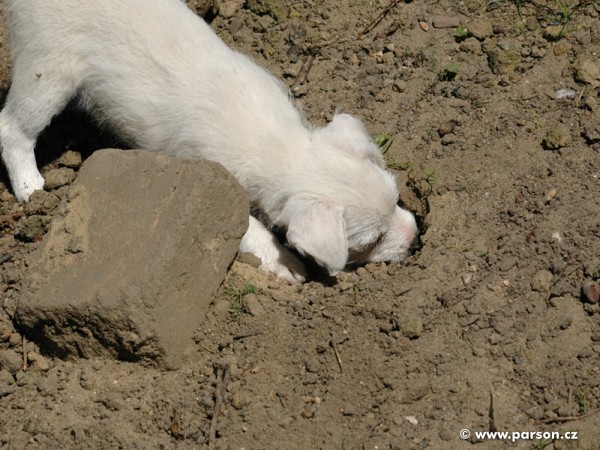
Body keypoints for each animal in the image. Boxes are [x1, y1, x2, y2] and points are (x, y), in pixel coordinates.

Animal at [0, 0, 418, 282]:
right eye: (372, 240)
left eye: (398, 199)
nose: (416, 238)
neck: (278, 147)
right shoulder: (216, 185)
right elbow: (252, 231)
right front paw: (284, 262)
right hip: (48, 70)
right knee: (11, 127)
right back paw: (29, 187)